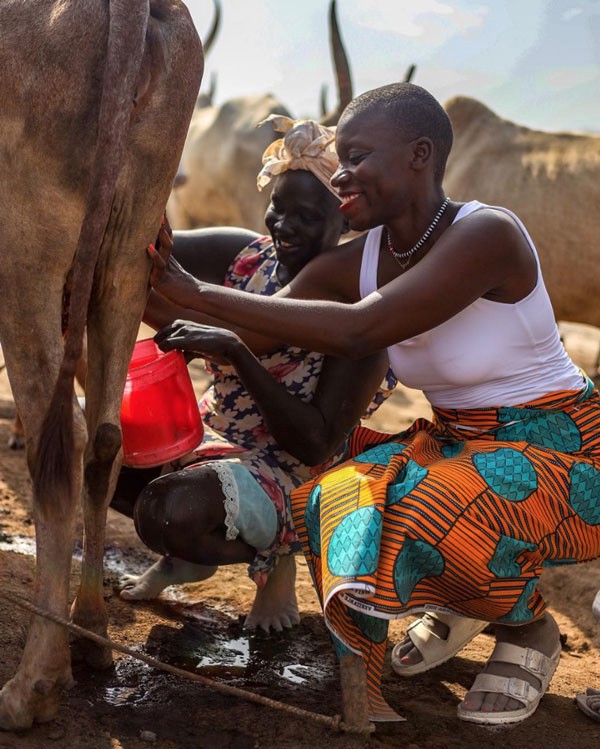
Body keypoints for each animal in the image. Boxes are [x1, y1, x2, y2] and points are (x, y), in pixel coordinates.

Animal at [0, 0, 203, 728]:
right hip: (124, 254)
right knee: (106, 441)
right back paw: (89, 633)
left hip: (26, 254)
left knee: (58, 455)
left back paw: (36, 680)